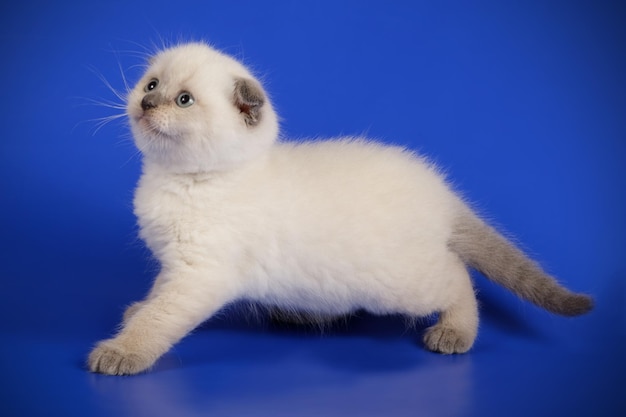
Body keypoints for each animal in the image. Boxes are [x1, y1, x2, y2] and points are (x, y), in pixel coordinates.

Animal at [86, 41, 588, 374]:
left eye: (183, 100)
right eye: (152, 84)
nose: (146, 102)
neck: (177, 179)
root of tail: (442, 193)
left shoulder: (199, 275)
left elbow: (160, 320)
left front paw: (120, 351)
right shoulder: (175, 266)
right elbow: (156, 295)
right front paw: (135, 310)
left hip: (399, 284)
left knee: (457, 278)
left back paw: (454, 333)